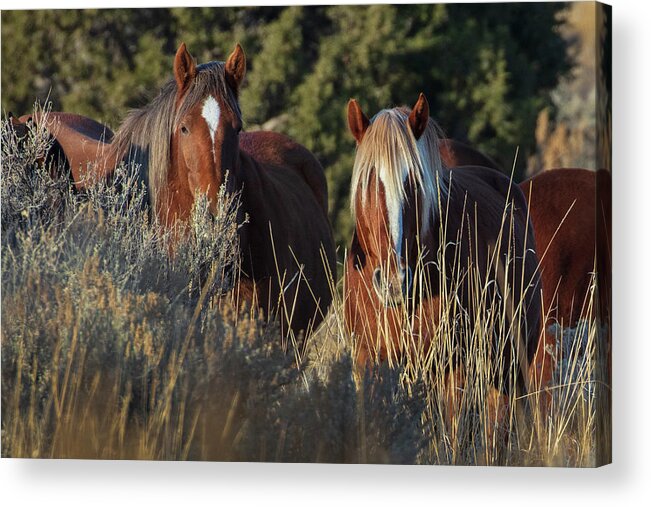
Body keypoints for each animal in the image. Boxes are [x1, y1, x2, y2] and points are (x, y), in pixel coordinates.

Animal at [344, 94, 544, 428]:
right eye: (369, 180)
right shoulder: (367, 362)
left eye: (414, 181)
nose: (395, 282)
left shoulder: (454, 368)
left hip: (509, 368)